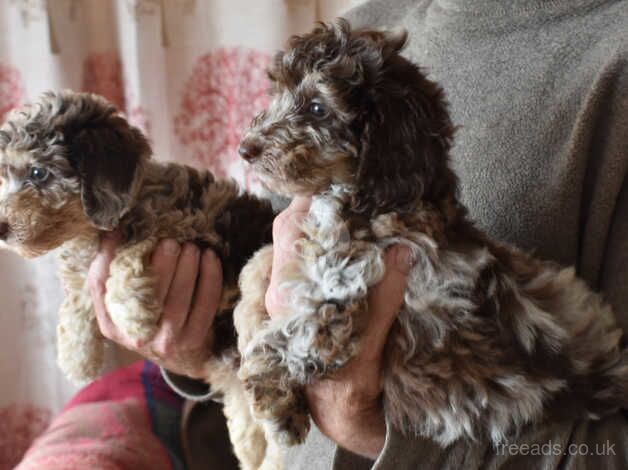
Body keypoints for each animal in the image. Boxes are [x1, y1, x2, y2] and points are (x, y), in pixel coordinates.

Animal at [0, 92, 278, 470]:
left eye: (37, 172)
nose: (1, 227)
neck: (92, 230)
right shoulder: (85, 271)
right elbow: (76, 299)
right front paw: (77, 357)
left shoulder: (188, 229)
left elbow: (129, 255)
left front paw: (132, 317)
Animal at [234, 19, 628, 458]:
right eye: (278, 93)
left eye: (318, 108)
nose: (245, 148)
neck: (374, 195)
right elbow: (261, 264)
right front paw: (248, 317)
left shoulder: (344, 281)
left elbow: (290, 335)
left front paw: (271, 400)